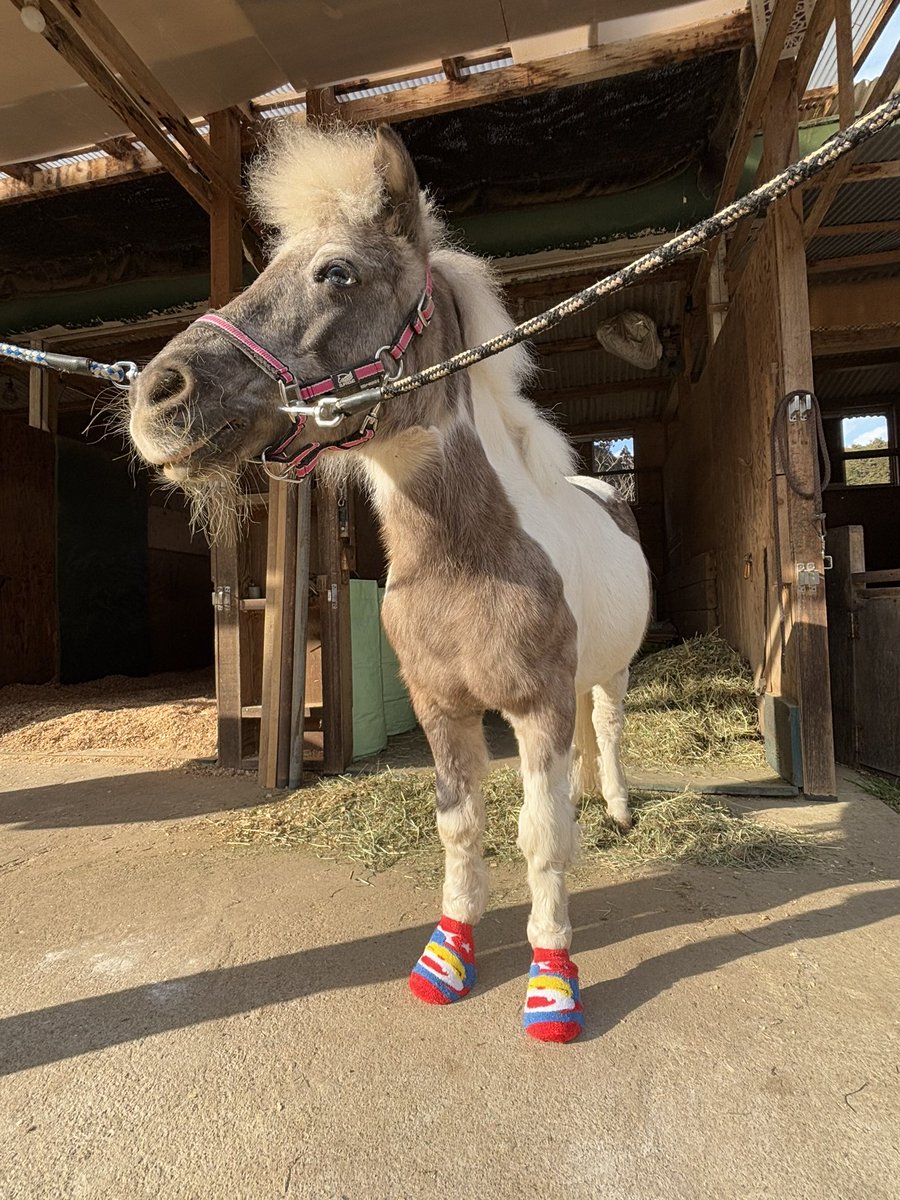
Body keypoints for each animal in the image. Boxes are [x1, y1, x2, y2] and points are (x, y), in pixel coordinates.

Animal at [128, 123, 651, 1042]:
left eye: (337, 272)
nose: (157, 398)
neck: (468, 560)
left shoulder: (537, 707)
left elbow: (541, 838)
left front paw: (551, 988)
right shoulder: (442, 707)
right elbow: (462, 825)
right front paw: (446, 962)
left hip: (611, 674)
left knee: (609, 730)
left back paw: (616, 808)